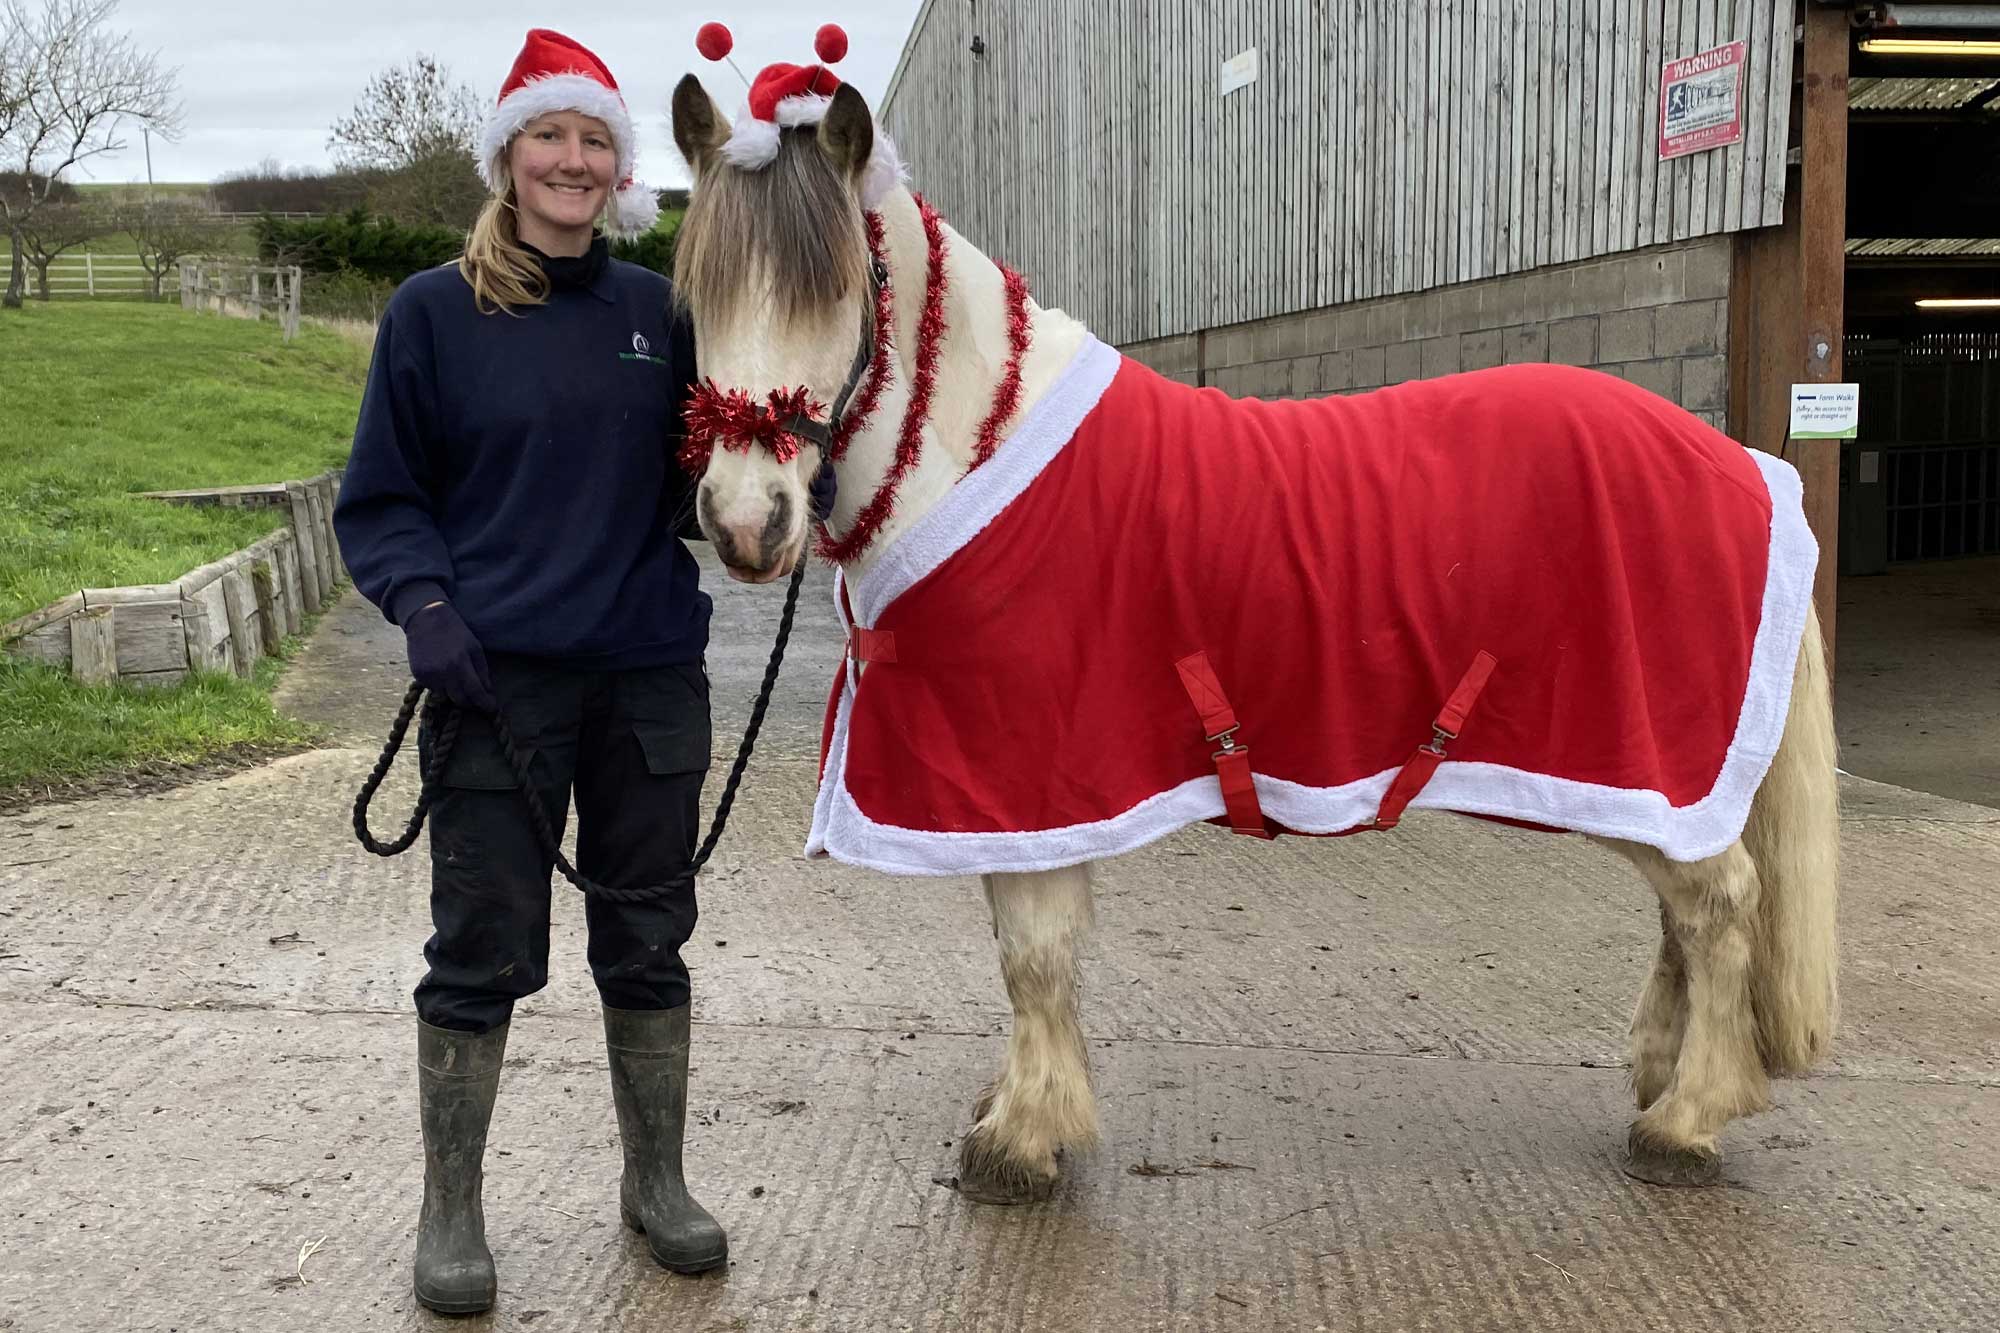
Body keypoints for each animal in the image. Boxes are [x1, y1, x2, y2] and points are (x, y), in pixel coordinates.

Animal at [676, 72, 1840, 1200]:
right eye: (700, 299)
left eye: (836, 290)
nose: (743, 524)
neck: (979, 445)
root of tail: (1738, 463)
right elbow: (1025, 953)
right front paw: (1021, 1110)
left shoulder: (1031, 779)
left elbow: (1033, 954)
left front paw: (1021, 1142)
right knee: (1687, 912)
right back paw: (1661, 1074)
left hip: (1639, 759)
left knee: (1719, 902)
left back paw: (1686, 1121)